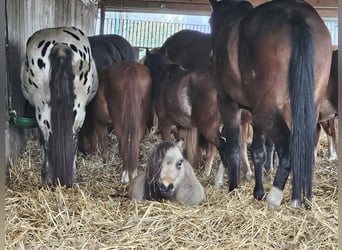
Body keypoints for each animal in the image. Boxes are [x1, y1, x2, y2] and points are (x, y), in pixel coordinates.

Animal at [21, 26, 98, 188]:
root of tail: (60, 44)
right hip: (76, 110)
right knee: (70, 138)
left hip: (43, 110)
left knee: (48, 139)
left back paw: (49, 177)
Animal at [208, 0, 332, 209]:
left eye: (210, 22)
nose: (210, 56)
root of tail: (295, 14)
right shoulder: (254, 114)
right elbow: (259, 152)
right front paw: (258, 192)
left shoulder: (228, 104)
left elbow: (233, 148)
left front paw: (233, 188)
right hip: (302, 109)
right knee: (303, 150)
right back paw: (300, 199)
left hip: (266, 110)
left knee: (289, 149)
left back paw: (275, 197)